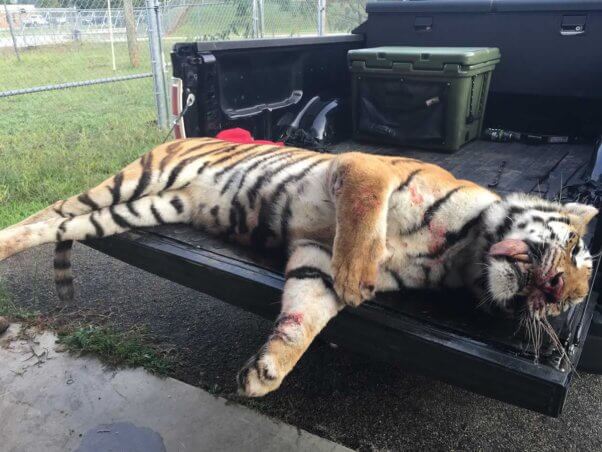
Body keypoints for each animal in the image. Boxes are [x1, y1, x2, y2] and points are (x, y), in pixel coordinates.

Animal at [0, 138, 592, 396]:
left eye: (571, 301)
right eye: (575, 247)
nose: (557, 290)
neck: (460, 253)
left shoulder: (313, 255)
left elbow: (305, 314)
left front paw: (268, 371)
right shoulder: (364, 169)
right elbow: (363, 219)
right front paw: (357, 281)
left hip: (145, 207)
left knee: (56, 224)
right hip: (132, 182)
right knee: (50, 209)